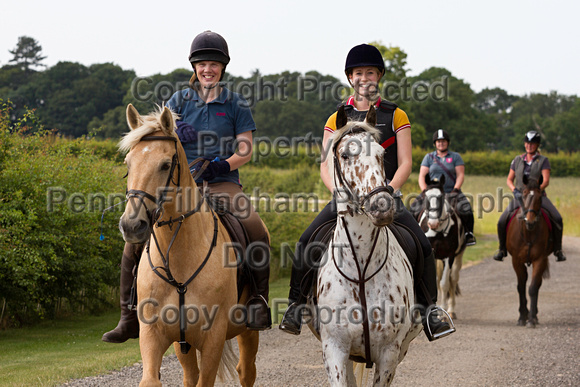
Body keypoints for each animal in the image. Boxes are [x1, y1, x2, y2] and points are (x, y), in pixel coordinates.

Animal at [308, 107, 422, 387]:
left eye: (381, 154)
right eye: (345, 155)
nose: (381, 206)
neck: (360, 268)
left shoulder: (390, 353)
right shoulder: (334, 348)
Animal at [416, 177, 466, 320]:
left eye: (441, 197)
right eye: (426, 197)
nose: (432, 223)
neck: (437, 231)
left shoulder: (449, 256)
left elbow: (444, 284)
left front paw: (443, 313)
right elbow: (434, 282)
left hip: (458, 256)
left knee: (453, 278)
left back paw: (451, 310)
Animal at [506, 177, 552, 328]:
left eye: (539, 198)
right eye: (523, 195)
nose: (530, 222)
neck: (529, 233)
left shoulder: (540, 260)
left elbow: (532, 288)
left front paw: (531, 319)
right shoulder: (516, 261)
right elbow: (521, 287)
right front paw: (522, 317)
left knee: (537, 285)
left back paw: (535, 316)